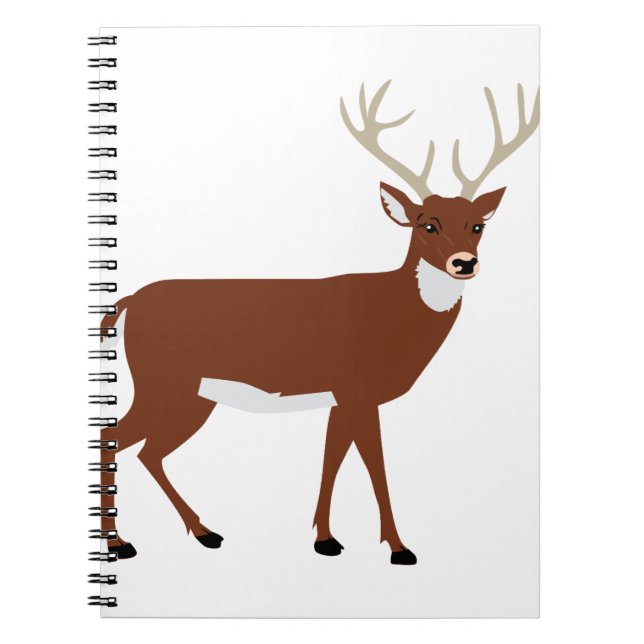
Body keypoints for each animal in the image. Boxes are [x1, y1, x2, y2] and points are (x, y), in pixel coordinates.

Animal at [97, 81, 539, 565]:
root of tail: (128, 302)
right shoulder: (358, 390)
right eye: (427, 225)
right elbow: (376, 466)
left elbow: (332, 460)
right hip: (164, 384)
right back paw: (121, 543)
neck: (392, 314)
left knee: (147, 452)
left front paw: (325, 539)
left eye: (478, 225)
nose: (465, 263)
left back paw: (203, 532)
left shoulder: (340, 398)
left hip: (191, 396)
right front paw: (399, 547)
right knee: (112, 435)